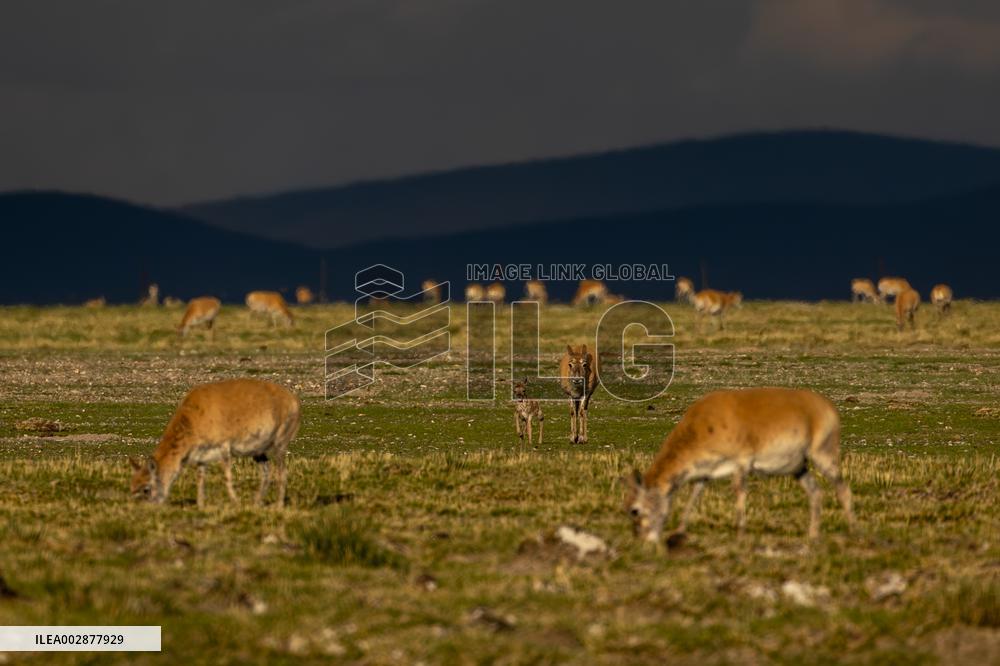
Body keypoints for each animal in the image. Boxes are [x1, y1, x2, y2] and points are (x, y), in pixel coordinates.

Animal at [129, 378, 300, 508]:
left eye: (146, 488)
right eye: (132, 487)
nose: (144, 509)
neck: (194, 417)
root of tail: (293, 400)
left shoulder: (224, 447)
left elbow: (227, 476)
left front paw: (235, 502)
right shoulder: (201, 457)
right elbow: (200, 479)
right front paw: (200, 505)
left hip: (279, 445)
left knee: (282, 473)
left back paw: (278, 505)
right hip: (258, 452)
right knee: (266, 473)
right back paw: (256, 503)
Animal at [623, 388, 855, 545]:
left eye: (635, 510)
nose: (641, 538)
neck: (701, 426)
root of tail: (827, 407)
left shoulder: (742, 462)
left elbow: (739, 492)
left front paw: (740, 533)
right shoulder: (705, 473)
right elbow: (694, 495)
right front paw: (679, 530)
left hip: (823, 455)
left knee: (843, 489)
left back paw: (855, 532)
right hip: (798, 468)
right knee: (816, 492)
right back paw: (813, 535)